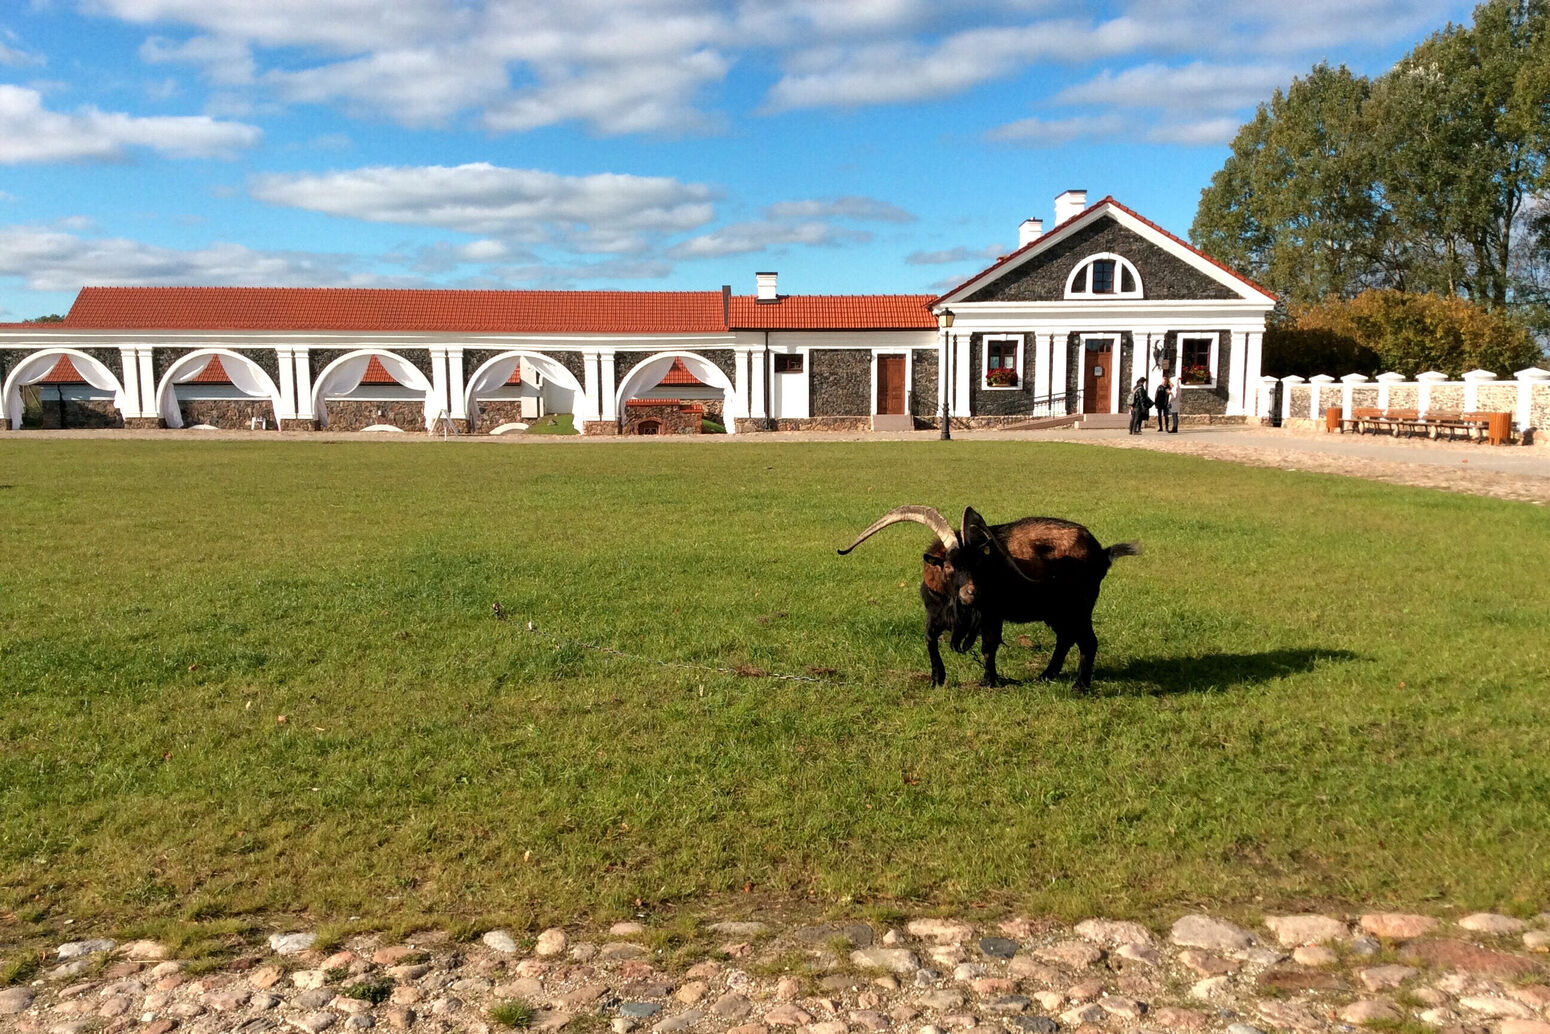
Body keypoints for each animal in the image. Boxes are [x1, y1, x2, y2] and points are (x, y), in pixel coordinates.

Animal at [849, 505, 1140, 691]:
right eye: (948, 566)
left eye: (979, 564)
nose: (972, 592)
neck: (954, 603)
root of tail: (1101, 552)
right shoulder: (935, 615)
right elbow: (930, 641)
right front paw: (936, 679)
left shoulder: (991, 616)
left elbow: (989, 647)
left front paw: (988, 681)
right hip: (1055, 612)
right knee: (1065, 638)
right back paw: (1046, 675)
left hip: (1079, 606)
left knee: (1088, 641)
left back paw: (1079, 686)